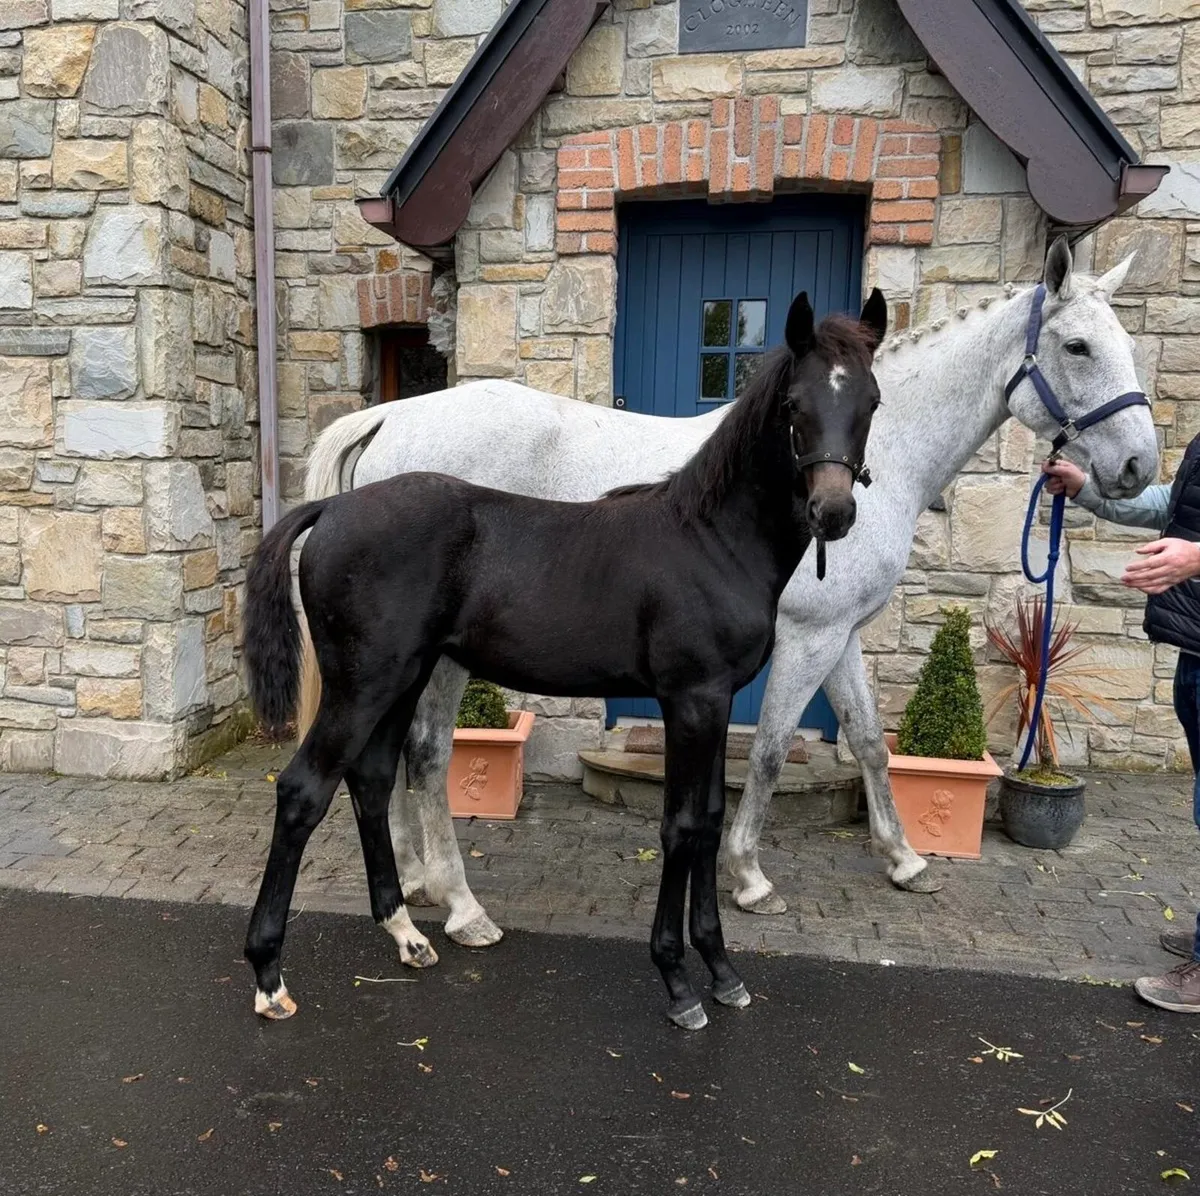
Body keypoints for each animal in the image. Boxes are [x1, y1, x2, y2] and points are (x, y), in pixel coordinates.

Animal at [242, 291, 886, 1031]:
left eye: (870, 400)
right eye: (793, 404)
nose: (833, 512)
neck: (709, 539)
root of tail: (332, 507)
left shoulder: (717, 701)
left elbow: (708, 820)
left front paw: (723, 973)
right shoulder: (692, 699)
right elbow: (682, 826)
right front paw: (679, 982)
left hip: (402, 678)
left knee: (372, 780)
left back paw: (406, 935)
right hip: (363, 684)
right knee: (303, 790)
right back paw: (270, 977)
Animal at [293, 236, 1156, 944]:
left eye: (1127, 343)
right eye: (1078, 345)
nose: (1138, 468)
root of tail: (391, 422)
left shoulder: (841, 634)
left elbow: (870, 744)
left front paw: (904, 858)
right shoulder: (806, 638)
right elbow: (770, 752)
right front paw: (749, 877)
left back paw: (415, 884)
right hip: (437, 659)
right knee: (427, 752)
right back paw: (458, 903)